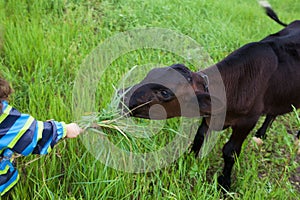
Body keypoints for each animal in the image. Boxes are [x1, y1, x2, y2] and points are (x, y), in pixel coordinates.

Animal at [120, 5, 300, 190]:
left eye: (164, 93)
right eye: (151, 72)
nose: (121, 96)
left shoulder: (248, 120)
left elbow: (230, 151)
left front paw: (224, 183)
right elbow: (199, 136)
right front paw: (190, 158)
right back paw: (261, 134)